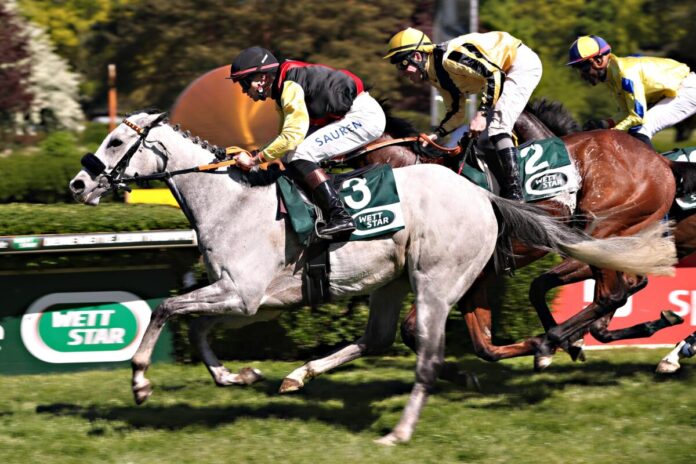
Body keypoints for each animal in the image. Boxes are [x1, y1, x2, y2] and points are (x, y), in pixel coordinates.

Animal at [69, 110, 675, 445]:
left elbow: (166, 308)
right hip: (394, 281)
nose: (78, 184)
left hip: (448, 277)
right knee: (387, 337)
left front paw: (141, 381)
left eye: (116, 143)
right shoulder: (247, 301)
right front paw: (238, 376)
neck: (231, 202)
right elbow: (194, 328)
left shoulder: (242, 296)